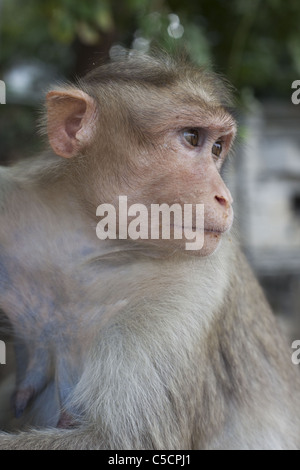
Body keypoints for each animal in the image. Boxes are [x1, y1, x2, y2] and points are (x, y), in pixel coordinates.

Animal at [0, 51, 300, 448]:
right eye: (192, 137)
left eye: (217, 148)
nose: (225, 197)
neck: (87, 235)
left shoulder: (196, 283)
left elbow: (119, 438)